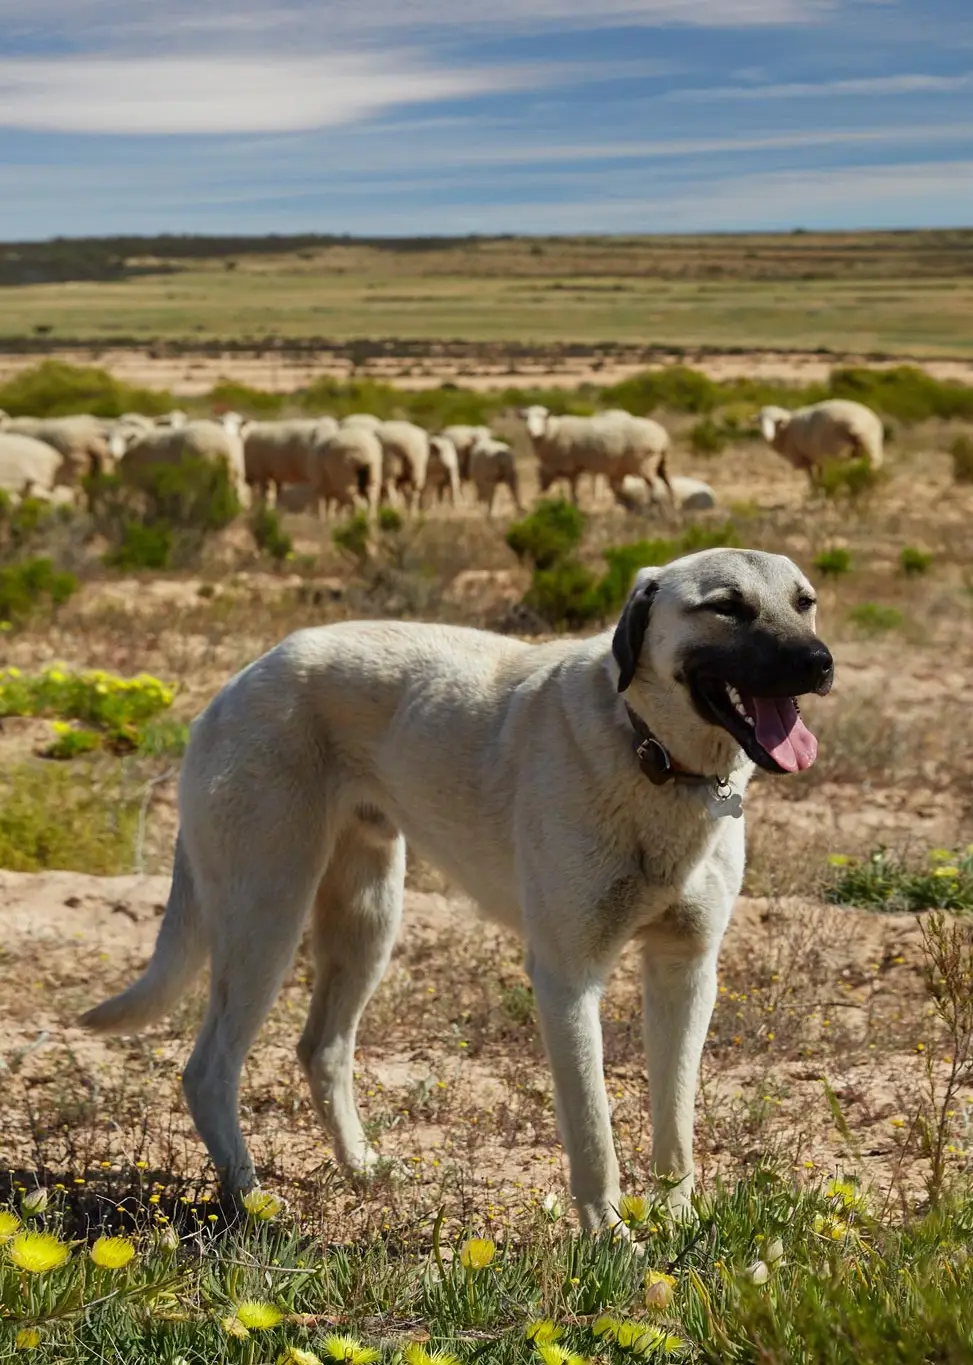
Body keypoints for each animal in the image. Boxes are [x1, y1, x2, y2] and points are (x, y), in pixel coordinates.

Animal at [79, 548, 829, 1233]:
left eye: (804, 601)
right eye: (726, 606)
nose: (820, 664)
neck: (652, 755)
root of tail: (238, 681)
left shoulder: (685, 969)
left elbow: (674, 1122)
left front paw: (675, 1224)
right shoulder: (567, 980)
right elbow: (594, 1136)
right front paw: (612, 1246)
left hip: (367, 921)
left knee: (321, 1049)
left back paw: (362, 1167)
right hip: (265, 915)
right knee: (209, 1070)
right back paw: (250, 1199)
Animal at [521, 406, 671, 510]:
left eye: (542, 417)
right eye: (526, 418)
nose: (531, 431)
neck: (554, 432)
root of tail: (662, 436)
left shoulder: (569, 465)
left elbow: (572, 489)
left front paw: (574, 507)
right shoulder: (577, 467)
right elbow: (574, 489)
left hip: (645, 464)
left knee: (656, 487)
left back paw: (654, 507)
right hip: (658, 464)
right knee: (666, 483)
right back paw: (670, 504)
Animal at [753, 398, 884, 483]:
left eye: (776, 421)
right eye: (760, 421)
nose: (767, 436)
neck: (787, 428)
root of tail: (856, 424)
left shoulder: (804, 457)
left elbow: (811, 477)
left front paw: (815, 491)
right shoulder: (817, 455)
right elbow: (820, 474)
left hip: (836, 452)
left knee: (838, 472)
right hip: (871, 446)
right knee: (872, 467)